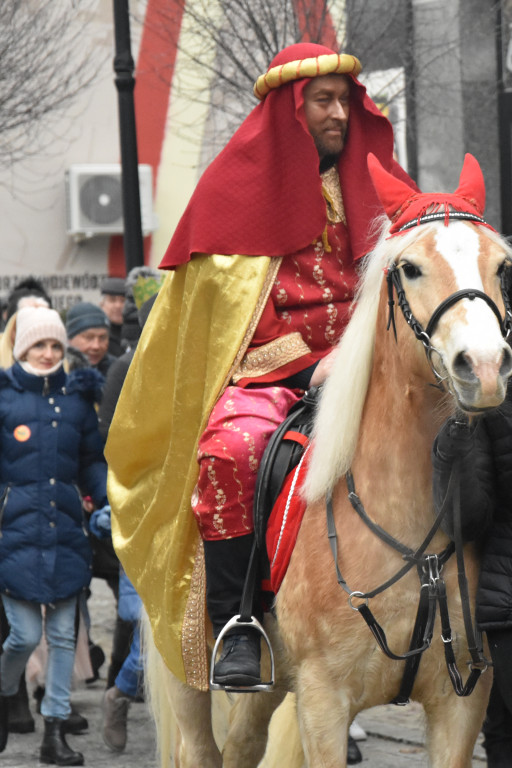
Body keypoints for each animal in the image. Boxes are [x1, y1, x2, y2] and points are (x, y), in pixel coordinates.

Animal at [142, 152, 512, 768]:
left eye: (501, 265)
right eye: (410, 268)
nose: (482, 368)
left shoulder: (463, 701)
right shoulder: (322, 699)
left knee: (243, 744)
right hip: (186, 662)